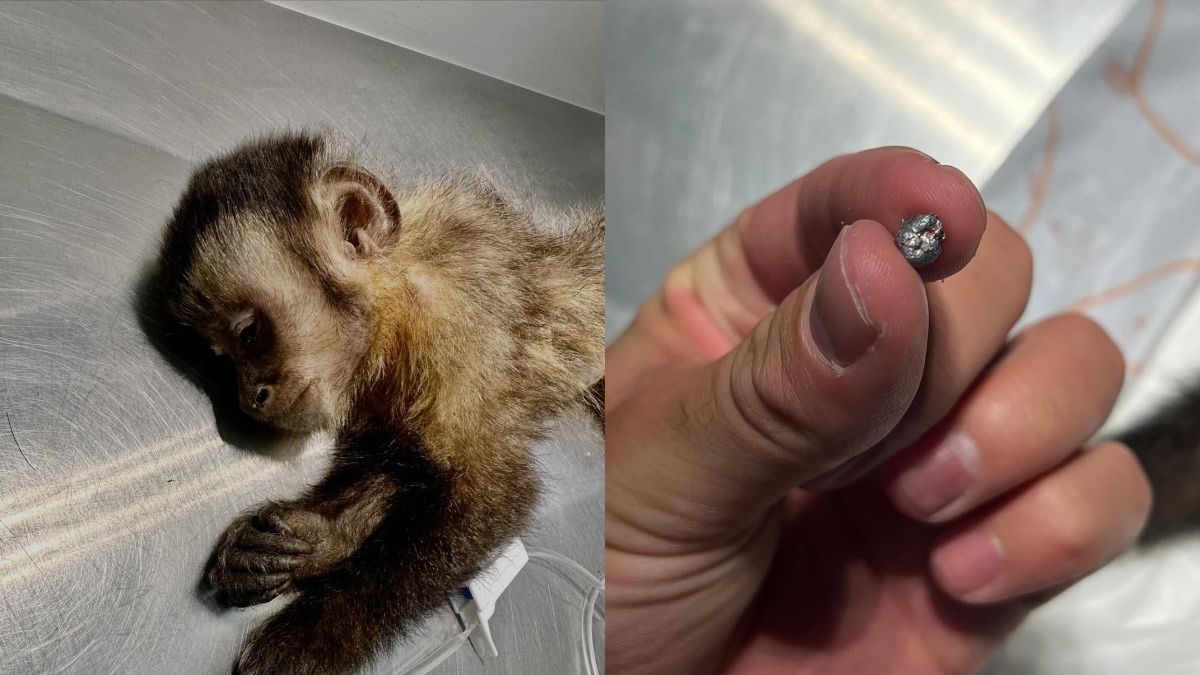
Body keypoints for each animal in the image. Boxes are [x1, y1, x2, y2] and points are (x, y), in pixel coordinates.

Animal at [153, 130, 604, 674]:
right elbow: (402, 459)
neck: (394, 302)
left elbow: (487, 492)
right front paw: (317, 539)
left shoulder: (455, 318)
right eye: (221, 359)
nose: (249, 398)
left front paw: (309, 639)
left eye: (249, 333)